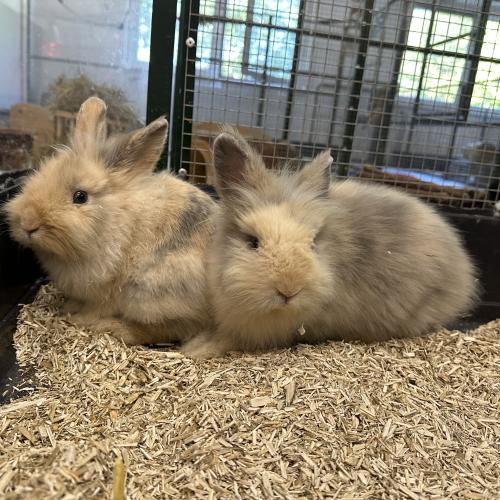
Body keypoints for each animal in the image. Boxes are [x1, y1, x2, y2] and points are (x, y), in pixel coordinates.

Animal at [4, 97, 218, 345]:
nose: (28, 223)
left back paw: (114, 328)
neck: (110, 222)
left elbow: (97, 308)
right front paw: (67, 308)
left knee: (168, 329)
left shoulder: (107, 289)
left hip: (148, 293)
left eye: (80, 196)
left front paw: (79, 320)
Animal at [182, 128, 478, 358]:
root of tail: (462, 265)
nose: (288, 291)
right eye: (252, 242)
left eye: (313, 243)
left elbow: (227, 340)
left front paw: (194, 350)